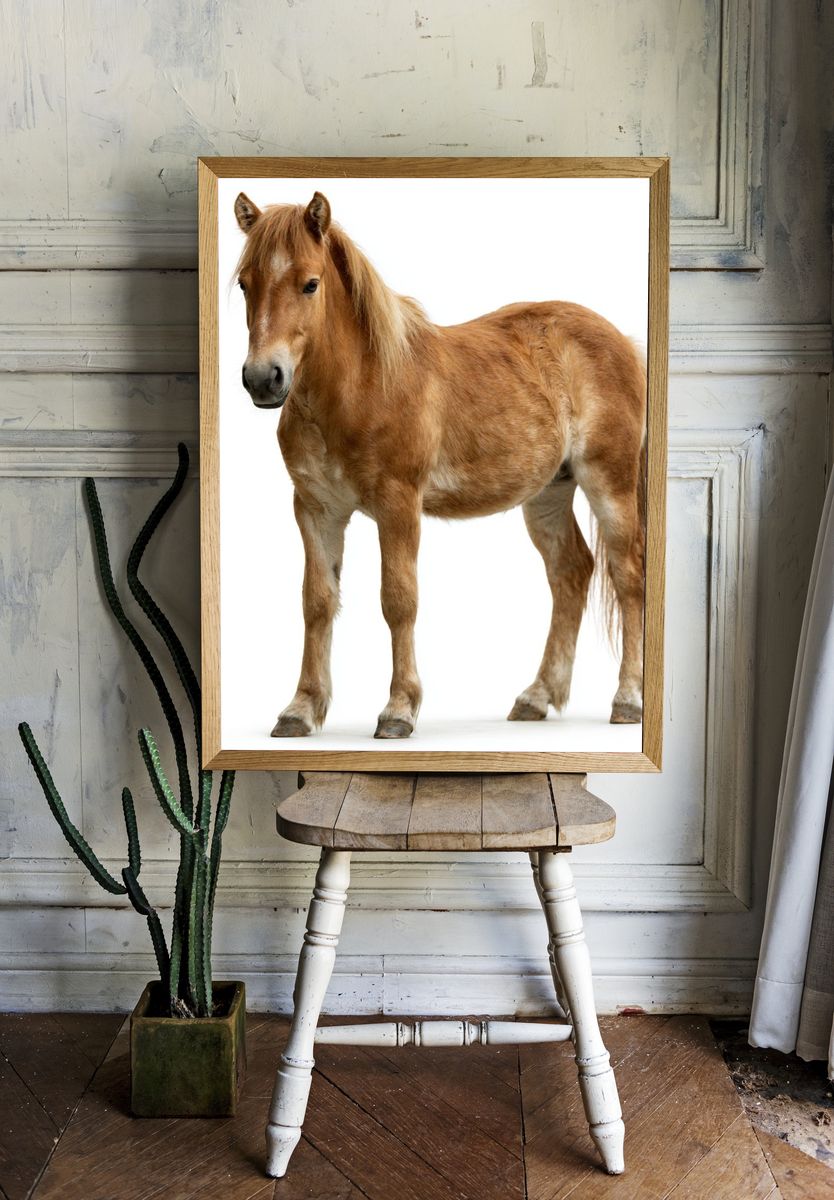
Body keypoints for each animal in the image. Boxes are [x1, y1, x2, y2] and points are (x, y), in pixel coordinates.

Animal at [233, 190, 646, 739]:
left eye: (310, 283)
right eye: (244, 283)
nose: (264, 379)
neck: (362, 385)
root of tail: (623, 341)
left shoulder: (398, 505)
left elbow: (398, 600)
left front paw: (398, 710)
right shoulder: (316, 510)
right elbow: (317, 602)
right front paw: (300, 709)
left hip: (609, 483)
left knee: (628, 576)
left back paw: (628, 700)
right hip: (548, 493)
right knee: (571, 572)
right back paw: (536, 697)